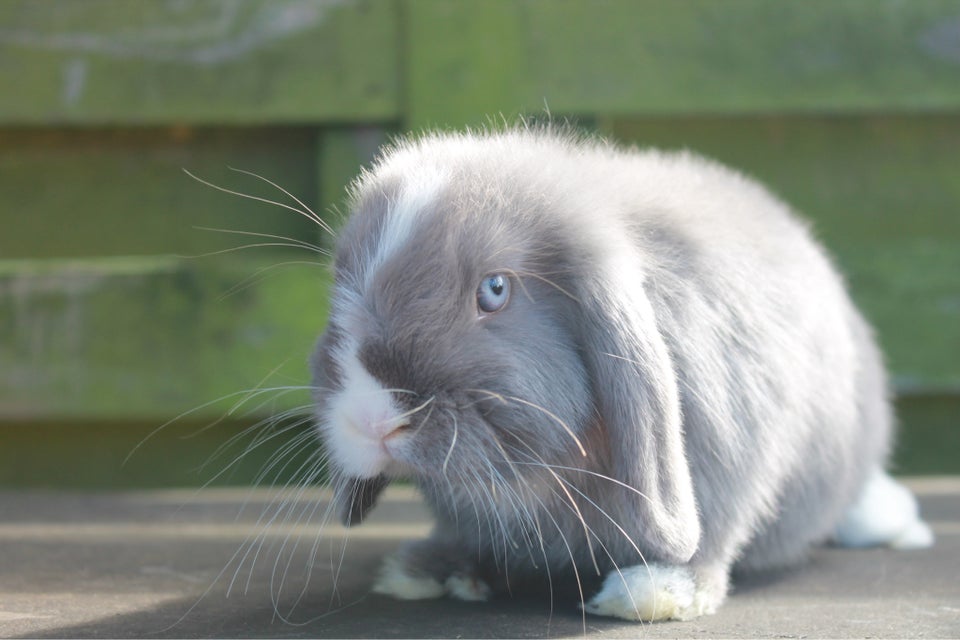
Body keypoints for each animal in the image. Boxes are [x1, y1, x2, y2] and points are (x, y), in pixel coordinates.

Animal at [310, 125, 928, 620]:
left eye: (495, 289)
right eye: (340, 285)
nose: (372, 419)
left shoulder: (730, 459)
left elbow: (712, 535)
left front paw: (656, 592)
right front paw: (429, 569)